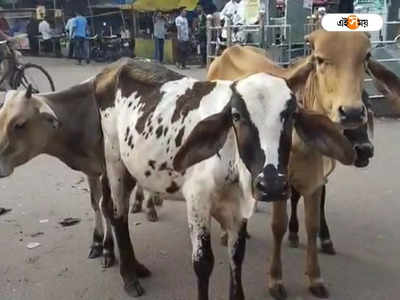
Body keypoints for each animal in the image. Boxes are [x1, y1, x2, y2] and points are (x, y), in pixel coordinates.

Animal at [94, 57, 354, 298]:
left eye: (291, 115)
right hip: (114, 163)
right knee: (117, 216)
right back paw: (129, 277)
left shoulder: (239, 208)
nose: (271, 185)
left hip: (130, 170)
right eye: (236, 116)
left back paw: (136, 268)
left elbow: (236, 256)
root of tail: (118, 65)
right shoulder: (197, 202)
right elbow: (203, 263)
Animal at [208, 31, 400, 300]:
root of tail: (228, 50)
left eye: (366, 56)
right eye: (319, 58)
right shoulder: (277, 182)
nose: (351, 112)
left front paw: (315, 276)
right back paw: (228, 233)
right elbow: (277, 226)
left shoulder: (316, 179)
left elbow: (313, 224)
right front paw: (276, 279)